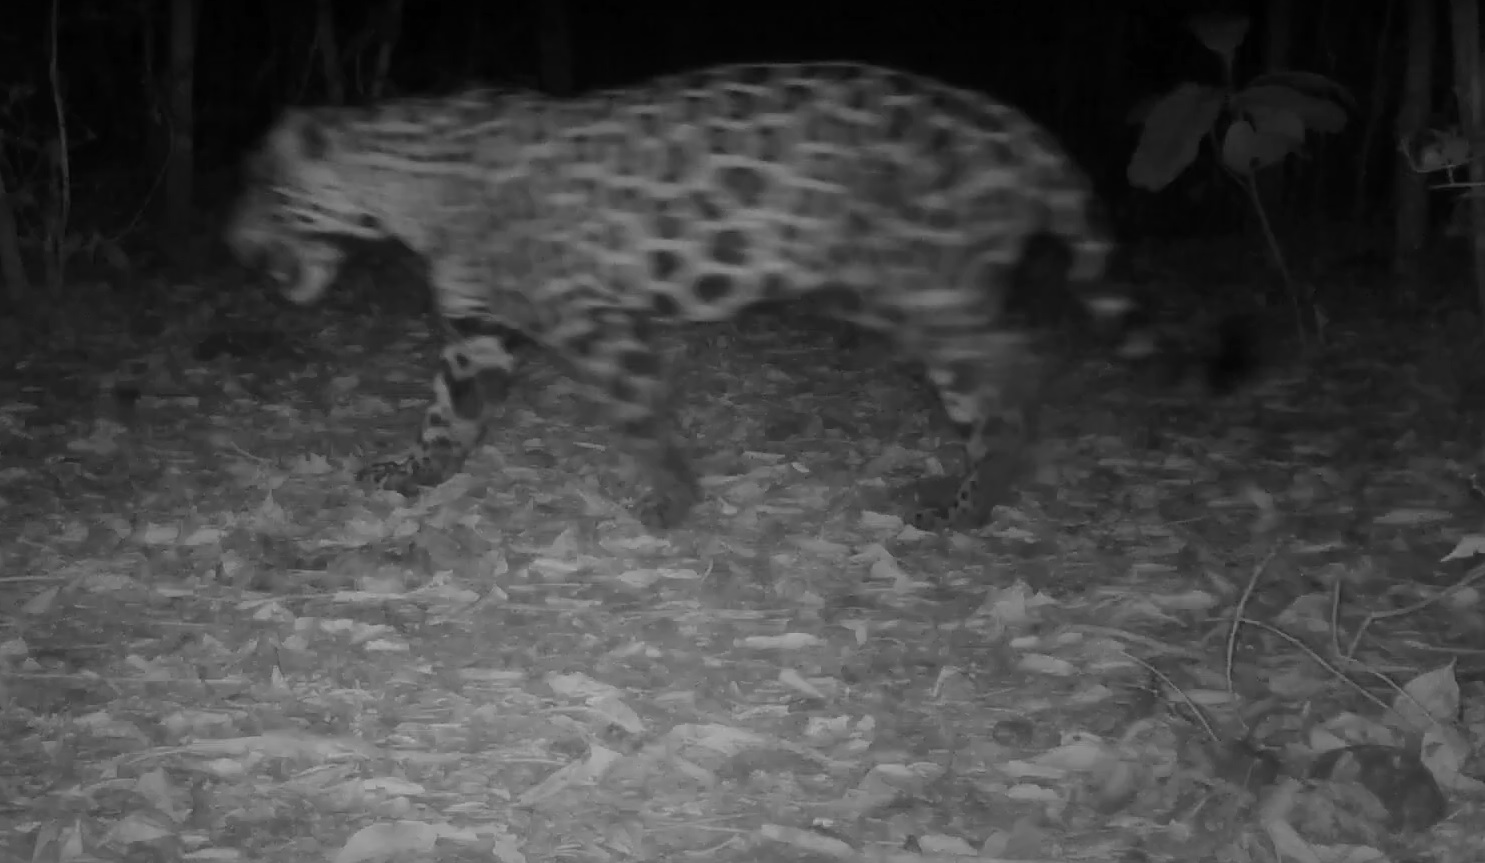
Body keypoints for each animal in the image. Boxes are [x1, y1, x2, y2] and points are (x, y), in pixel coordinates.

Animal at [224, 62, 1254, 533]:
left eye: (260, 186)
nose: (231, 242)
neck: (404, 186)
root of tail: (1016, 125)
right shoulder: (481, 328)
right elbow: (448, 411)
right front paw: (414, 473)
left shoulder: (589, 320)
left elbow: (640, 413)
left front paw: (669, 500)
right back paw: (962, 485)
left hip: (920, 290)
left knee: (1017, 360)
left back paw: (968, 501)